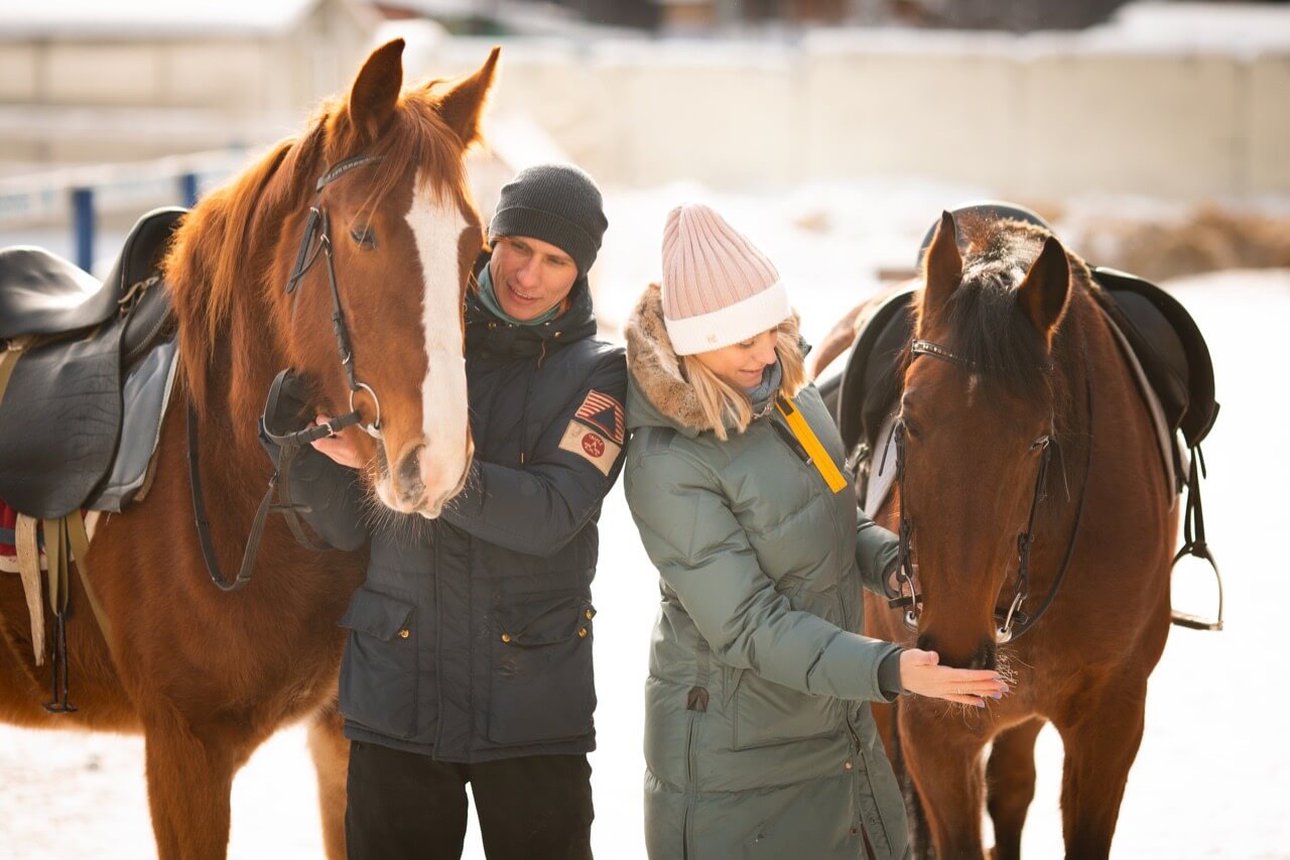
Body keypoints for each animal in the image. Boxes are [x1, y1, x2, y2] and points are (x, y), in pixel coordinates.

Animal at [866, 210, 1181, 860]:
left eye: (1040, 438)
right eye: (907, 419)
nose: (954, 654)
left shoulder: (1113, 720)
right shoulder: (932, 725)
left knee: (1010, 789)